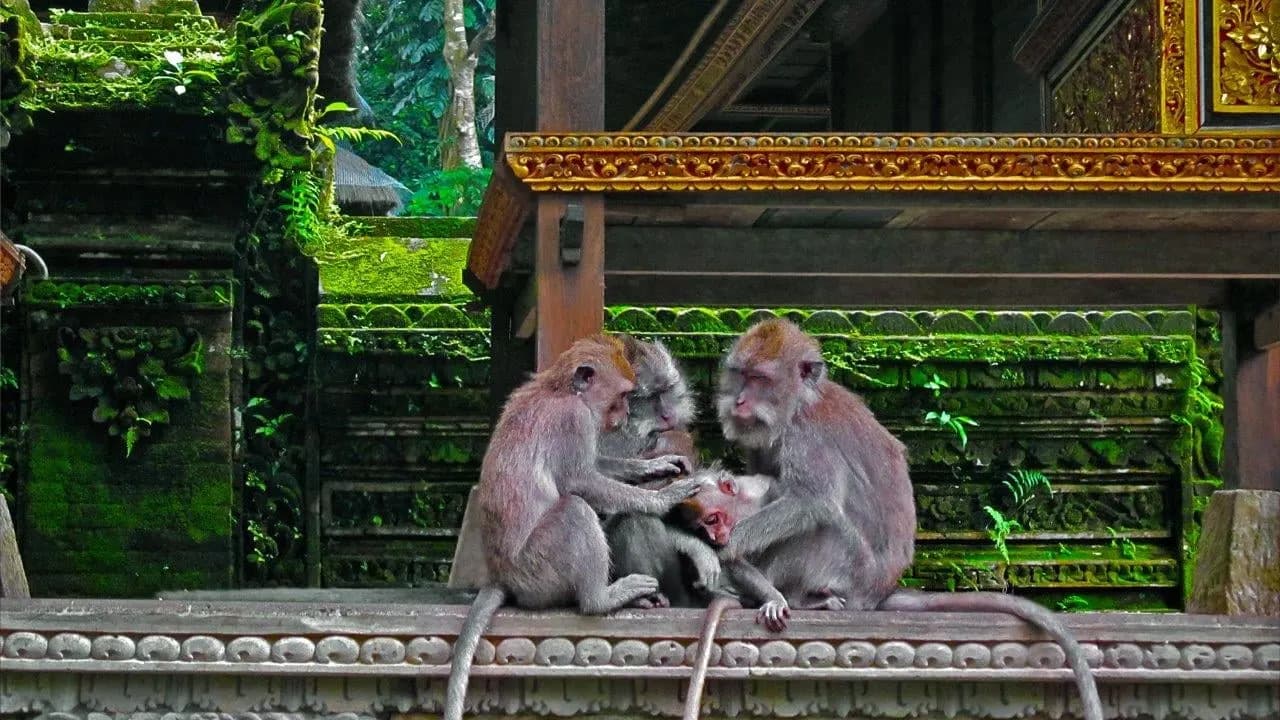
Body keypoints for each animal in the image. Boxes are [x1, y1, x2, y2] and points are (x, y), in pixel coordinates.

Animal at [442, 334, 703, 720]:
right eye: (625, 396)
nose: (622, 416)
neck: (559, 390)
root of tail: (502, 577)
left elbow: (596, 466)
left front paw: (654, 467)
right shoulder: (574, 420)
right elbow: (581, 480)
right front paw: (662, 498)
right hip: (537, 571)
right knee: (575, 511)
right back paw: (602, 598)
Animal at [684, 318, 1102, 720]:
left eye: (760, 379)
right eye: (740, 374)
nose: (738, 400)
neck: (801, 403)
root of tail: (880, 592)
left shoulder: (808, 436)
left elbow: (810, 502)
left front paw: (727, 548)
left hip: (852, 573)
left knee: (824, 523)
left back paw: (800, 598)